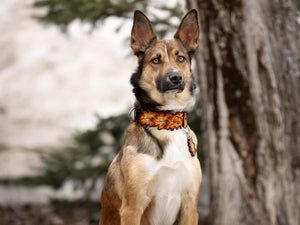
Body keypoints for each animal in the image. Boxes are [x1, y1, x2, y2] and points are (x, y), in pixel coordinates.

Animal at [99, 9, 202, 225]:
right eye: (156, 60)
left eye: (181, 58)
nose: (176, 77)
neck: (166, 120)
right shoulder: (132, 207)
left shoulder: (190, 206)